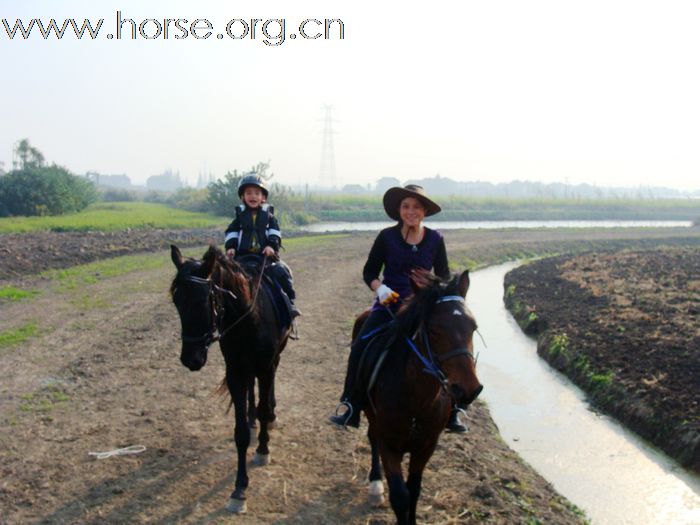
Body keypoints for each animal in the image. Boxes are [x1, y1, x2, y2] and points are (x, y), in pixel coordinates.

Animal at [170, 245, 290, 512]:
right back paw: (252, 417)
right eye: (177, 301)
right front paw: (239, 489)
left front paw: (263, 449)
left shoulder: (266, 367)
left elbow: (264, 405)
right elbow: (240, 433)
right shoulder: (235, 372)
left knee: (268, 392)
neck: (249, 319)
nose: (191, 358)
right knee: (252, 392)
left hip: (273, 359)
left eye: (204, 300)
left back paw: (269, 415)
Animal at [356, 270, 482, 524]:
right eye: (433, 329)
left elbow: (413, 490)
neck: (416, 399)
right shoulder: (389, 445)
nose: (469, 389)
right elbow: (400, 495)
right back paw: (375, 484)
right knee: (371, 437)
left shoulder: (426, 446)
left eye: (473, 327)